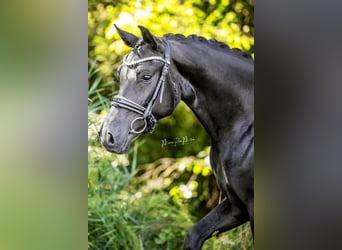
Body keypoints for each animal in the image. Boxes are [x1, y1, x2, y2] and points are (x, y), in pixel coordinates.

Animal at [97, 25, 252, 250]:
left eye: (146, 76)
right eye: (120, 74)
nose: (107, 135)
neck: (242, 121)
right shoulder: (236, 206)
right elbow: (194, 234)